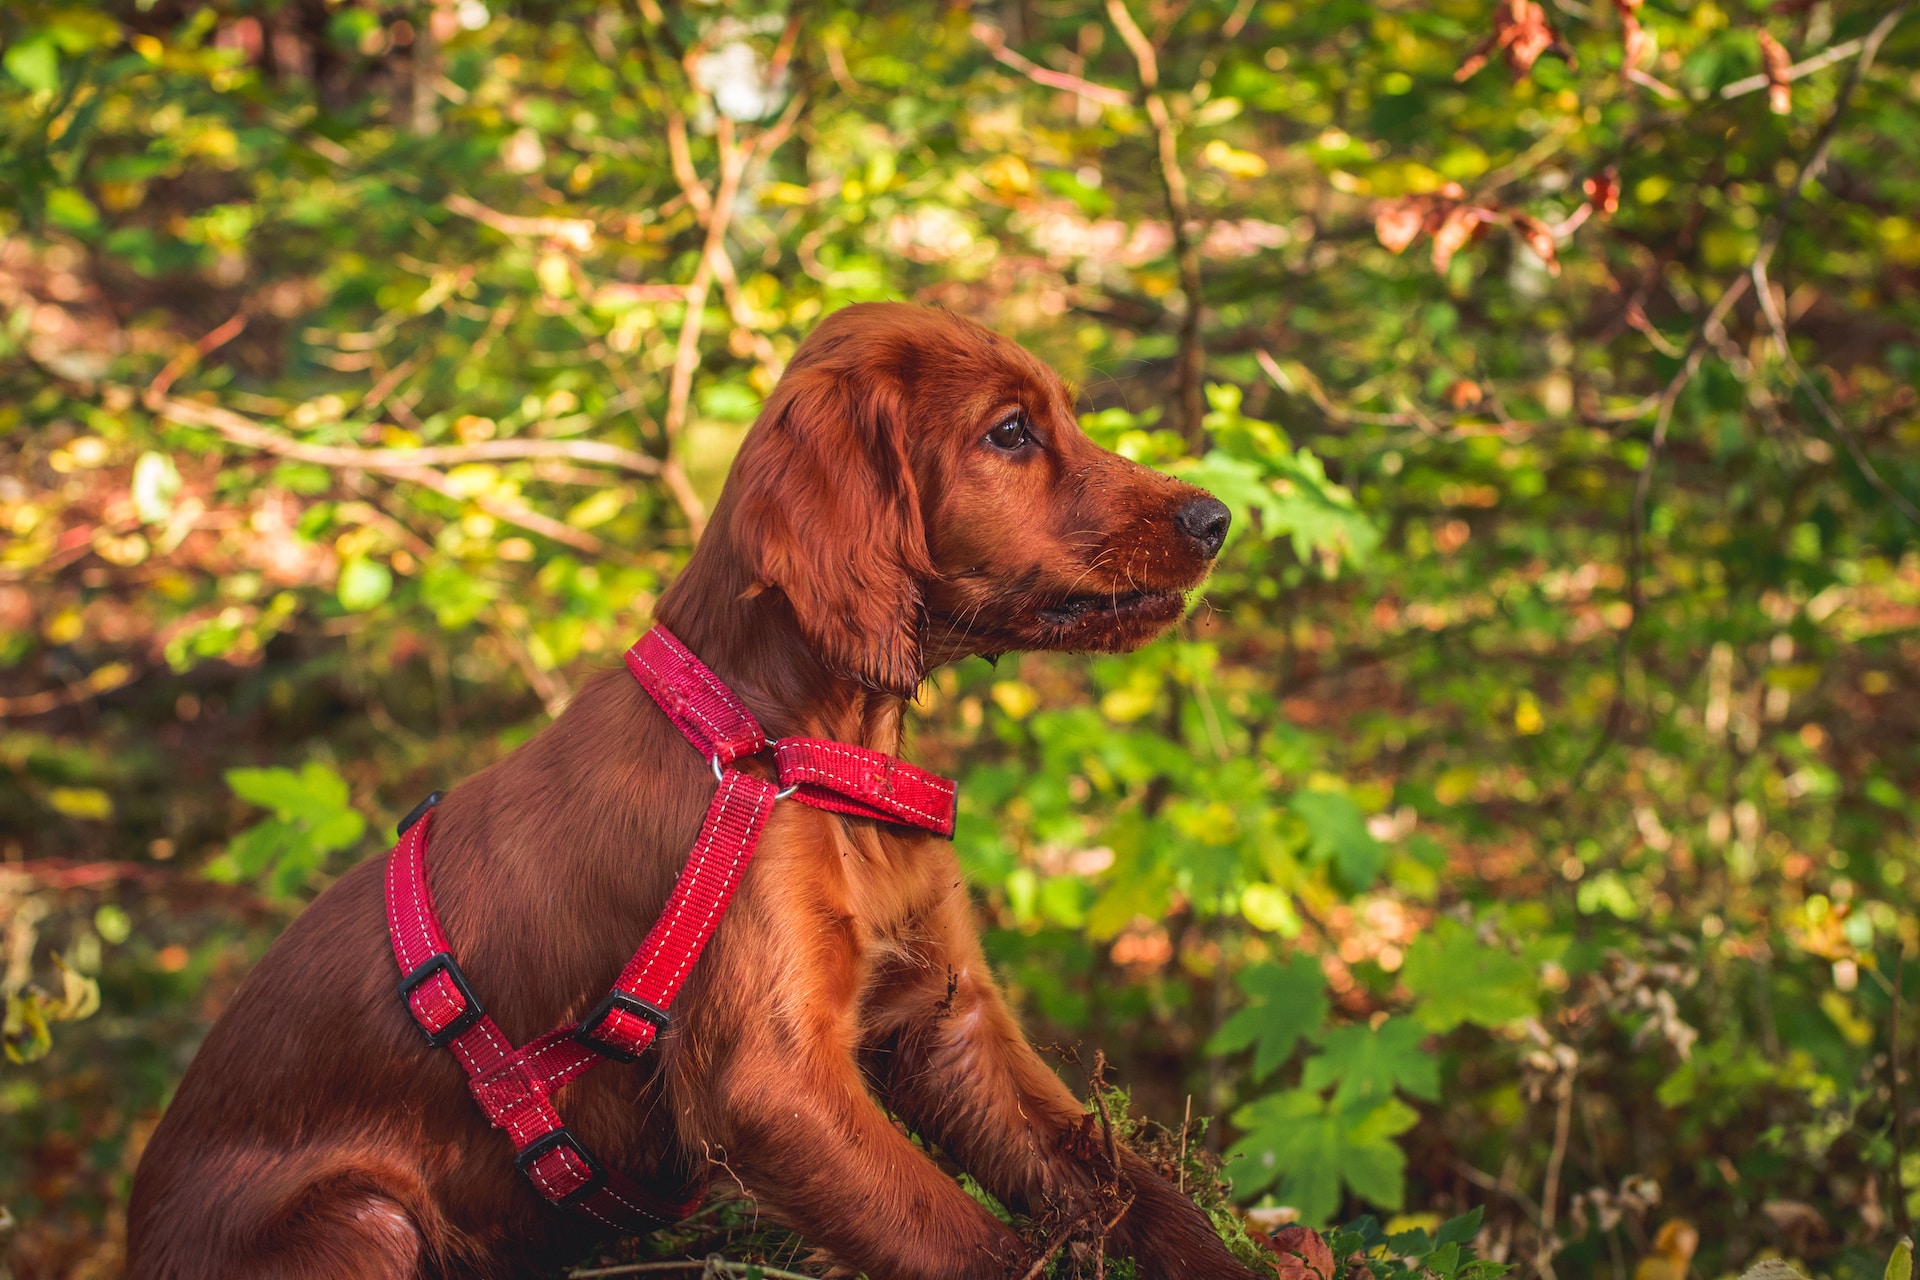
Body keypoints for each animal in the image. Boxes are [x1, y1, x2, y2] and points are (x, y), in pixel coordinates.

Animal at [127, 305, 1251, 1274]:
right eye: (1011, 432)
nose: (1217, 517)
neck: (781, 744)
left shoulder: (952, 1022)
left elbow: (1135, 1186)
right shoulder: (771, 1079)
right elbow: (976, 1247)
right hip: (362, 1216)